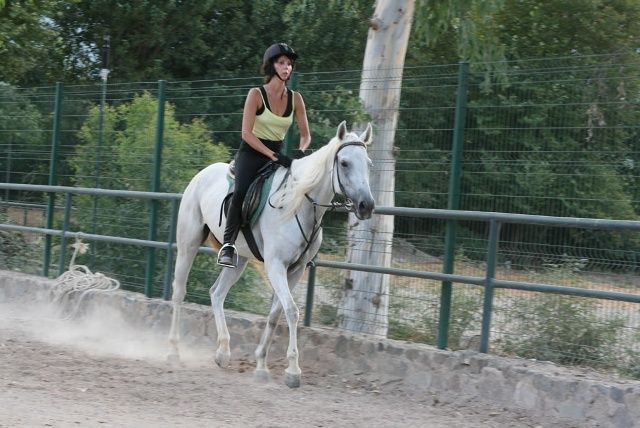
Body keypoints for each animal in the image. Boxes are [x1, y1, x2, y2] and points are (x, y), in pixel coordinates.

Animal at [167, 121, 374, 388]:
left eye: (368, 163)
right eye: (345, 163)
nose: (366, 206)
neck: (298, 204)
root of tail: (202, 174)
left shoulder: (295, 270)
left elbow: (276, 313)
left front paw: (262, 365)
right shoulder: (275, 266)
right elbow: (292, 311)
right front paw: (293, 371)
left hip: (239, 260)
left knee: (217, 293)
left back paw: (223, 352)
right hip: (188, 245)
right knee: (179, 292)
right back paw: (174, 351)